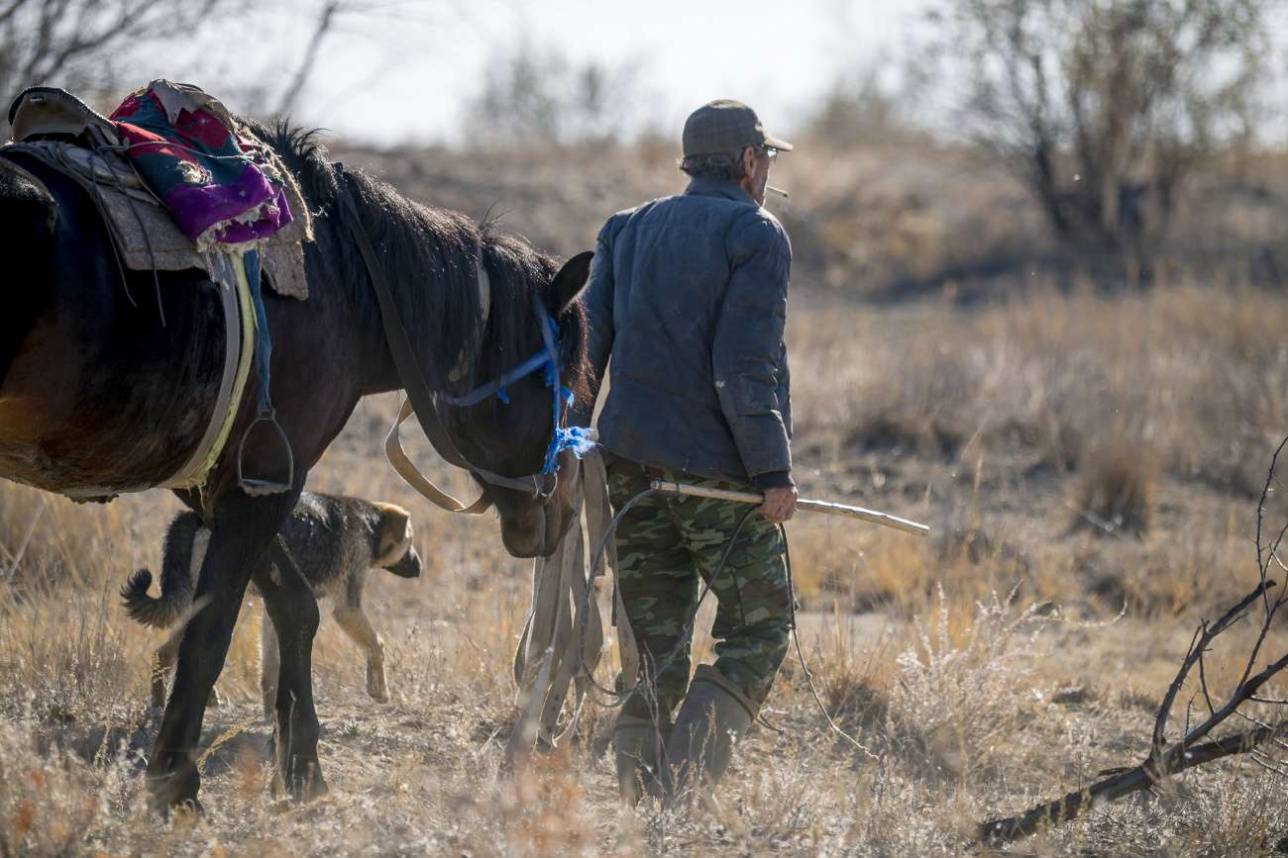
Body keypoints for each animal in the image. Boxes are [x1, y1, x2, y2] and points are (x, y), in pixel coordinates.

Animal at [123, 486, 419, 716]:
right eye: (410, 541)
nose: (420, 568)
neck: (369, 523)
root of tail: (194, 516)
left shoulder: (277, 606)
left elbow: (270, 666)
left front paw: (271, 712)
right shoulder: (348, 606)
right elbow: (377, 645)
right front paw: (380, 691)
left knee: (171, 652)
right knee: (170, 652)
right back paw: (164, 705)